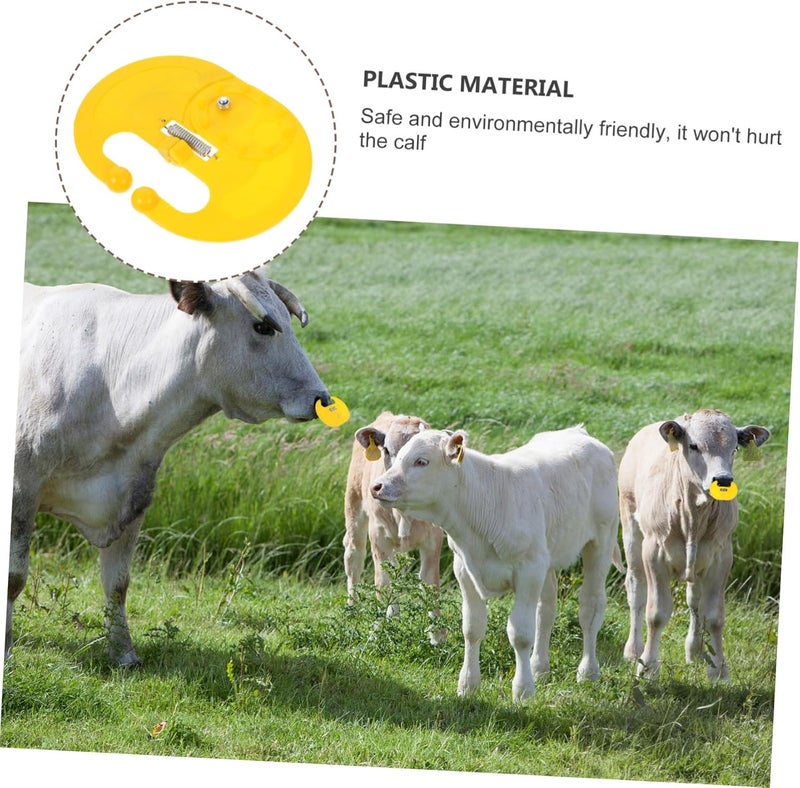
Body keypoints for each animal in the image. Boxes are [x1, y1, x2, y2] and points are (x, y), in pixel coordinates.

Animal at [8, 270, 331, 667]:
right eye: (263, 327)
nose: (322, 399)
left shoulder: (133, 495)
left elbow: (118, 583)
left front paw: (123, 652)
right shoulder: (22, 488)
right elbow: (14, 578)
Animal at [343, 411, 446, 643]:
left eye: (422, 460)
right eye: (387, 450)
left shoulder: (434, 539)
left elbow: (430, 583)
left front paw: (437, 636)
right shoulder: (378, 536)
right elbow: (383, 581)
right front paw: (377, 630)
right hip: (353, 502)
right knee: (353, 556)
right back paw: (353, 607)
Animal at [370, 425, 621, 702]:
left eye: (421, 461)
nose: (377, 486)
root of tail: (580, 432)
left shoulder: (528, 570)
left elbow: (520, 633)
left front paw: (523, 689)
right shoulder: (464, 569)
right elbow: (472, 628)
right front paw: (468, 685)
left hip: (601, 541)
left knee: (590, 607)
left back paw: (587, 671)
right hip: (548, 557)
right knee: (546, 611)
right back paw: (539, 668)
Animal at [618, 409, 770, 680]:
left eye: (734, 448)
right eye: (694, 445)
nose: (723, 479)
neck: (693, 515)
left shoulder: (721, 556)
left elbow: (714, 616)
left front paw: (718, 669)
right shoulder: (654, 553)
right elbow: (656, 614)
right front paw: (647, 667)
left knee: (694, 601)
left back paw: (695, 652)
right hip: (631, 532)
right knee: (636, 590)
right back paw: (633, 650)